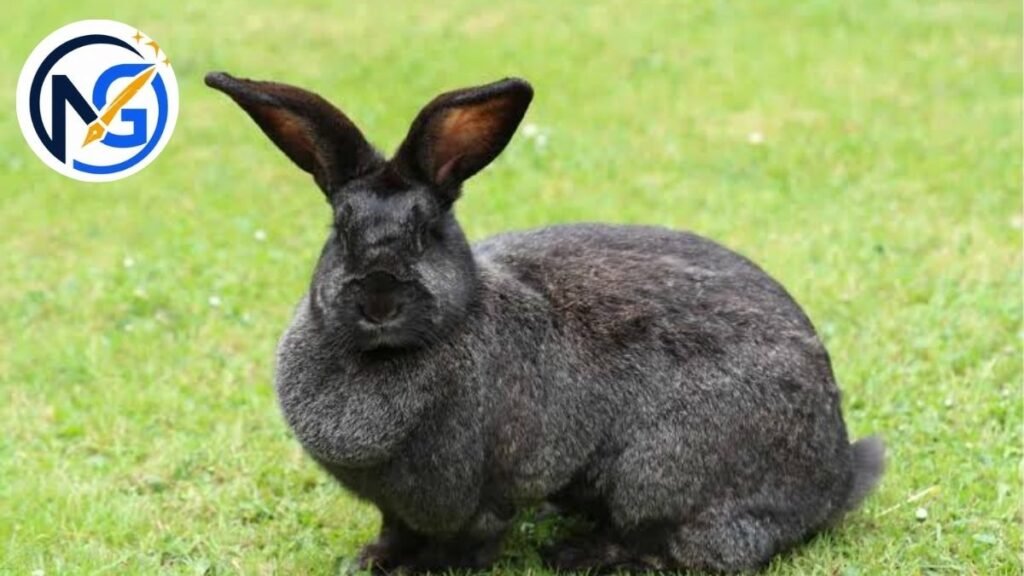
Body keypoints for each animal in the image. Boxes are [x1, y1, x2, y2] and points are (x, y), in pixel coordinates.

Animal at [205, 71, 885, 574]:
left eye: (426, 233)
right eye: (340, 234)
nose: (377, 301)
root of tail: (833, 481)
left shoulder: (474, 493)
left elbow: (468, 539)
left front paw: (427, 567)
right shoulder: (396, 505)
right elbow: (394, 530)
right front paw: (372, 560)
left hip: (658, 476)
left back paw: (581, 552)